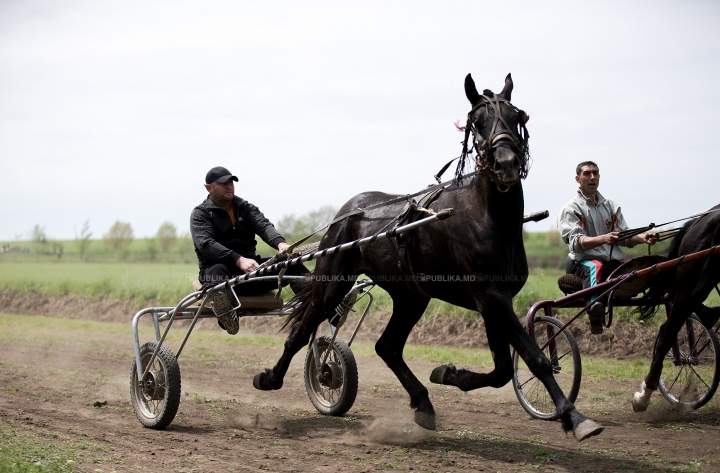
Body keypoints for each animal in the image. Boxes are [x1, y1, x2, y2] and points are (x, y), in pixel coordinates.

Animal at [253, 73, 600, 438]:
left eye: (516, 117)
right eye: (478, 122)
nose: (506, 162)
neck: (489, 217)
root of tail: (350, 209)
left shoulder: (494, 299)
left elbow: (503, 369)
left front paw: (449, 374)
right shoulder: (491, 296)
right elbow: (534, 358)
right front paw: (574, 416)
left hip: (411, 296)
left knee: (387, 347)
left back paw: (422, 402)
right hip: (333, 282)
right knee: (303, 329)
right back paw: (271, 377)